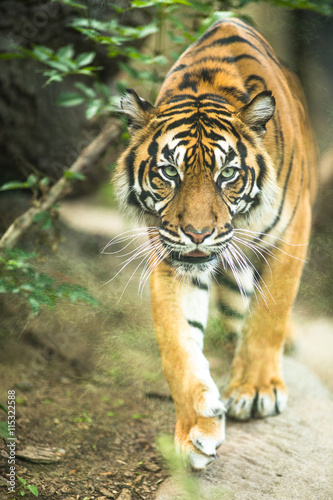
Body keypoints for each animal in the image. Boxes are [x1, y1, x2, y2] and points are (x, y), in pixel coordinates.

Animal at [113, 15, 316, 468]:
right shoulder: (171, 257)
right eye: (169, 172)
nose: (198, 233)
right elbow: (178, 344)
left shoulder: (293, 232)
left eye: (228, 175)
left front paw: (256, 392)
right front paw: (196, 430)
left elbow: (270, 315)